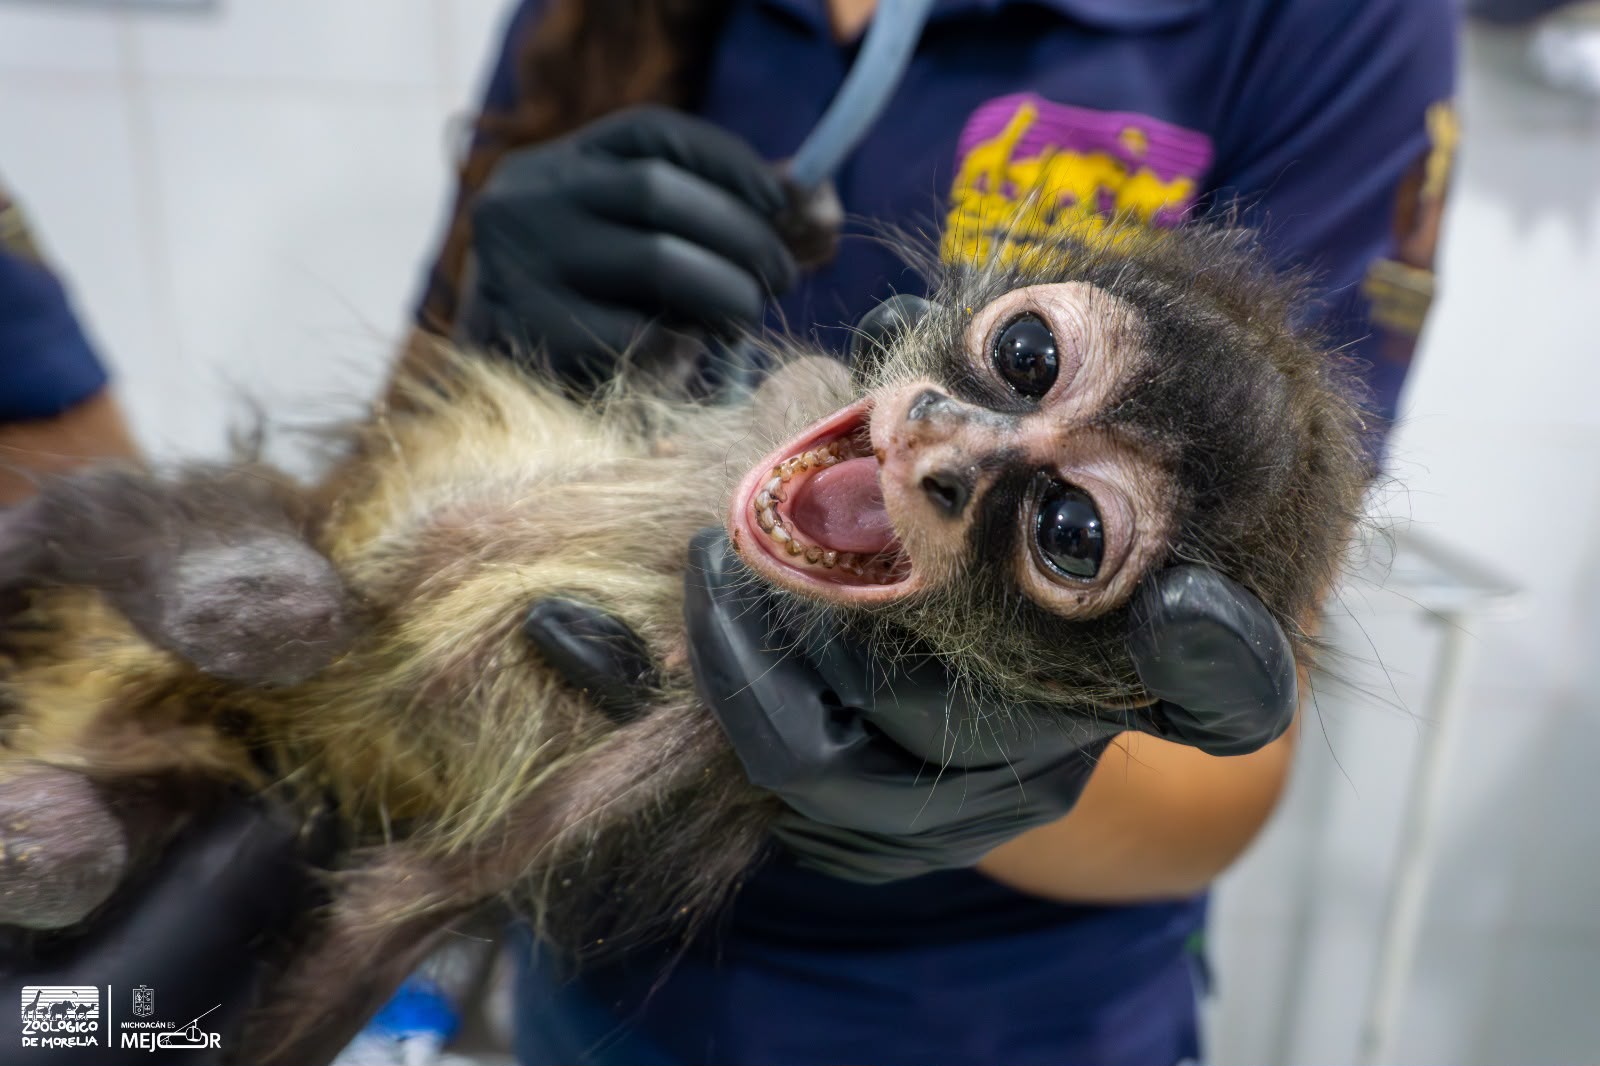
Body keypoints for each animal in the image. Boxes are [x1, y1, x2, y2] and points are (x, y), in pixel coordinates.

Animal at [0, 221, 1370, 1063]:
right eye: (1026, 355)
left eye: (1069, 530)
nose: (946, 444)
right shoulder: (786, 400)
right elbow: (309, 574)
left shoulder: (696, 741)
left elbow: (396, 908)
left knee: (87, 838)